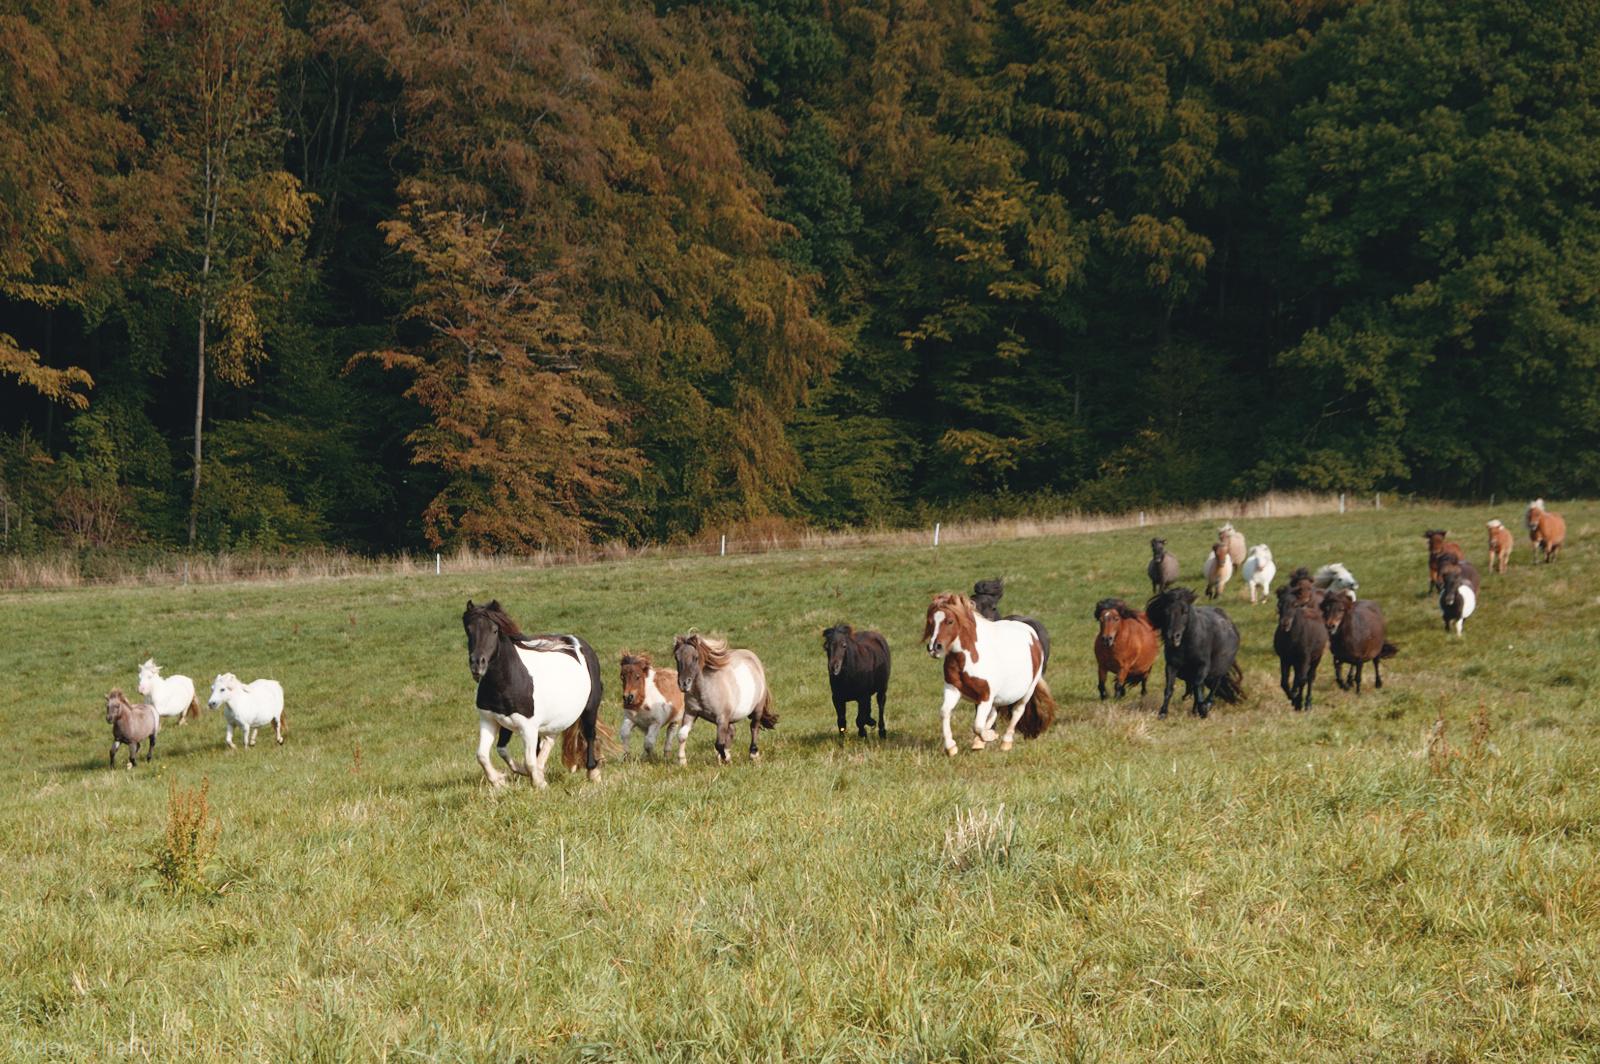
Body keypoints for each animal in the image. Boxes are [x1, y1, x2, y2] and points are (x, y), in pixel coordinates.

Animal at [461, 599, 604, 787]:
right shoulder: (490, 720)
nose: (477, 664)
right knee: (549, 739)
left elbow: (528, 760)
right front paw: (500, 781)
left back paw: (593, 773)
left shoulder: (528, 726)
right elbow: (485, 754)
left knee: (589, 734)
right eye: (468, 629)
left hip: (590, 709)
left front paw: (539, 784)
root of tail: (578, 642)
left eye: (494, 630)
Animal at [674, 632, 777, 764]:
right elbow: (682, 735)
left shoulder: (722, 718)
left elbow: (718, 744)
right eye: (677, 657)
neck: (705, 690)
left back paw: (753, 754)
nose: (684, 684)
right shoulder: (691, 713)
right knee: (732, 731)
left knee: (754, 727)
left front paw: (726, 759)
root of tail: (752, 657)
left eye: (695, 658)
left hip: (757, 709)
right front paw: (682, 761)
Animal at [923, 592, 1055, 754]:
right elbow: (945, 712)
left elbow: (977, 725)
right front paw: (951, 748)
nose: (934, 648)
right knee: (993, 713)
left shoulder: (986, 696)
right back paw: (979, 742)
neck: (969, 658)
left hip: (1028, 691)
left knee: (1017, 711)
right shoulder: (952, 689)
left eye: (950, 621)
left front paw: (990, 736)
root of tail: (1030, 631)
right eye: (930, 622)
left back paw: (1005, 742)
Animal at [1144, 588, 1244, 719]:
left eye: (1185, 611)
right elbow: (1169, 688)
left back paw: (1206, 705)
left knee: (1215, 685)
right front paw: (1163, 713)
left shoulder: (1202, 666)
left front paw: (1203, 709)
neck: (1186, 646)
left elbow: (1197, 685)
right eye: (1166, 611)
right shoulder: (1171, 665)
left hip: (1219, 669)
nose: (1173, 636)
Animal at [1274, 582, 1328, 711]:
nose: (1285, 623)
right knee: (1298, 676)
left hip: (1316, 657)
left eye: (1295, 604)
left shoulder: (1304, 657)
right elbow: (1284, 681)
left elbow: (1303, 679)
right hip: (1296, 661)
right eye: (1279, 604)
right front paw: (1293, 698)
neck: (1292, 640)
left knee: (1310, 677)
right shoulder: (1284, 658)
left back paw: (1308, 702)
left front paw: (1299, 702)